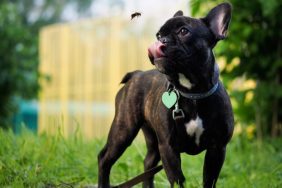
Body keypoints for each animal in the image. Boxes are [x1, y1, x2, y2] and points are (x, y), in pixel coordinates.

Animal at [98, 3, 235, 188]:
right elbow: (177, 179)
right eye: (159, 34)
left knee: (148, 163)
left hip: (152, 140)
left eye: (184, 31)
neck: (193, 93)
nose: (161, 40)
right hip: (124, 129)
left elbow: (209, 180)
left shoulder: (217, 148)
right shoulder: (168, 147)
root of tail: (136, 74)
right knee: (104, 159)